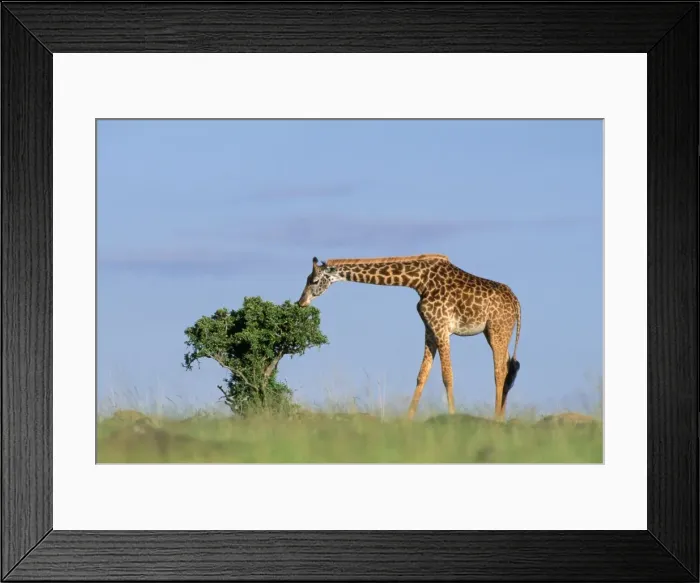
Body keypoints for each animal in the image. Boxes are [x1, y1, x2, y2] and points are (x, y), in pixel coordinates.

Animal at [296, 254, 521, 421]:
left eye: (314, 280)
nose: (301, 302)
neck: (418, 281)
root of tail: (517, 303)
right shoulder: (430, 329)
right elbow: (422, 375)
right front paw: (408, 419)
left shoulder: (441, 327)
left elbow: (447, 375)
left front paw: (452, 415)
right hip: (495, 333)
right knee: (509, 368)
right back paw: (502, 416)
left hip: (497, 330)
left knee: (499, 371)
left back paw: (496, 418)